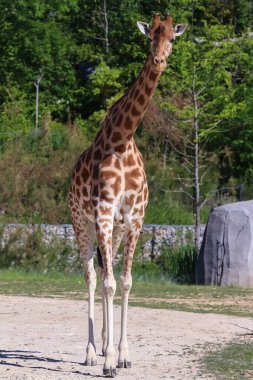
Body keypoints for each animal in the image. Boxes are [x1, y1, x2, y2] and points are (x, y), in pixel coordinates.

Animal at [68, 14, 187, 378]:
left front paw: (122, 355)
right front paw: (107, 361)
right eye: (150, 37)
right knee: (92, 276)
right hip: (81, 222)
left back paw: (105, 346)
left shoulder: (134, 217)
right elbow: (107, 283)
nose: (159, 61)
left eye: (172, 38)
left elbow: (126, 281)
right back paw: (91, 353)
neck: (121, 139)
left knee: (105, 270)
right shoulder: (103, 212)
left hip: (116, 230)